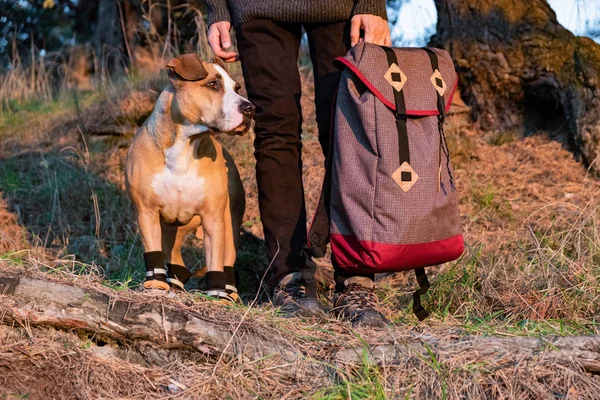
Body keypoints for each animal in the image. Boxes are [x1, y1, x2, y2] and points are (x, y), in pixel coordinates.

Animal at [125, 54, 254, 304]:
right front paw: (156, 285)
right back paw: (174, 283)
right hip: (170, 226)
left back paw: (229, 294)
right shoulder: (147, 212)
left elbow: (215, 260)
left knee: (227, 257)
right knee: (172, 254)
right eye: (213, 84)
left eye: (236, 88)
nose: (250, 108)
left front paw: (216, 295)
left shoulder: (213, 219)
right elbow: (153, 252)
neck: (186, 145)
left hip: (230, 223)